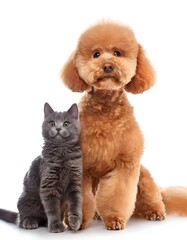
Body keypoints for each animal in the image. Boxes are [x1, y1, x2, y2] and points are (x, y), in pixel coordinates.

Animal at [0, 102, 82, 232]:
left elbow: (76, 204)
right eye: (52, 123)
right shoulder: (48, 184)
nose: (58, 128)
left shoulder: (75, 182)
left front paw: (74, 222)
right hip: (26, 200)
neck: (62, 153)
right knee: (23, 218)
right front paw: (55, 225)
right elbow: (52, 208)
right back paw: (30, 222)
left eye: (66, 123)